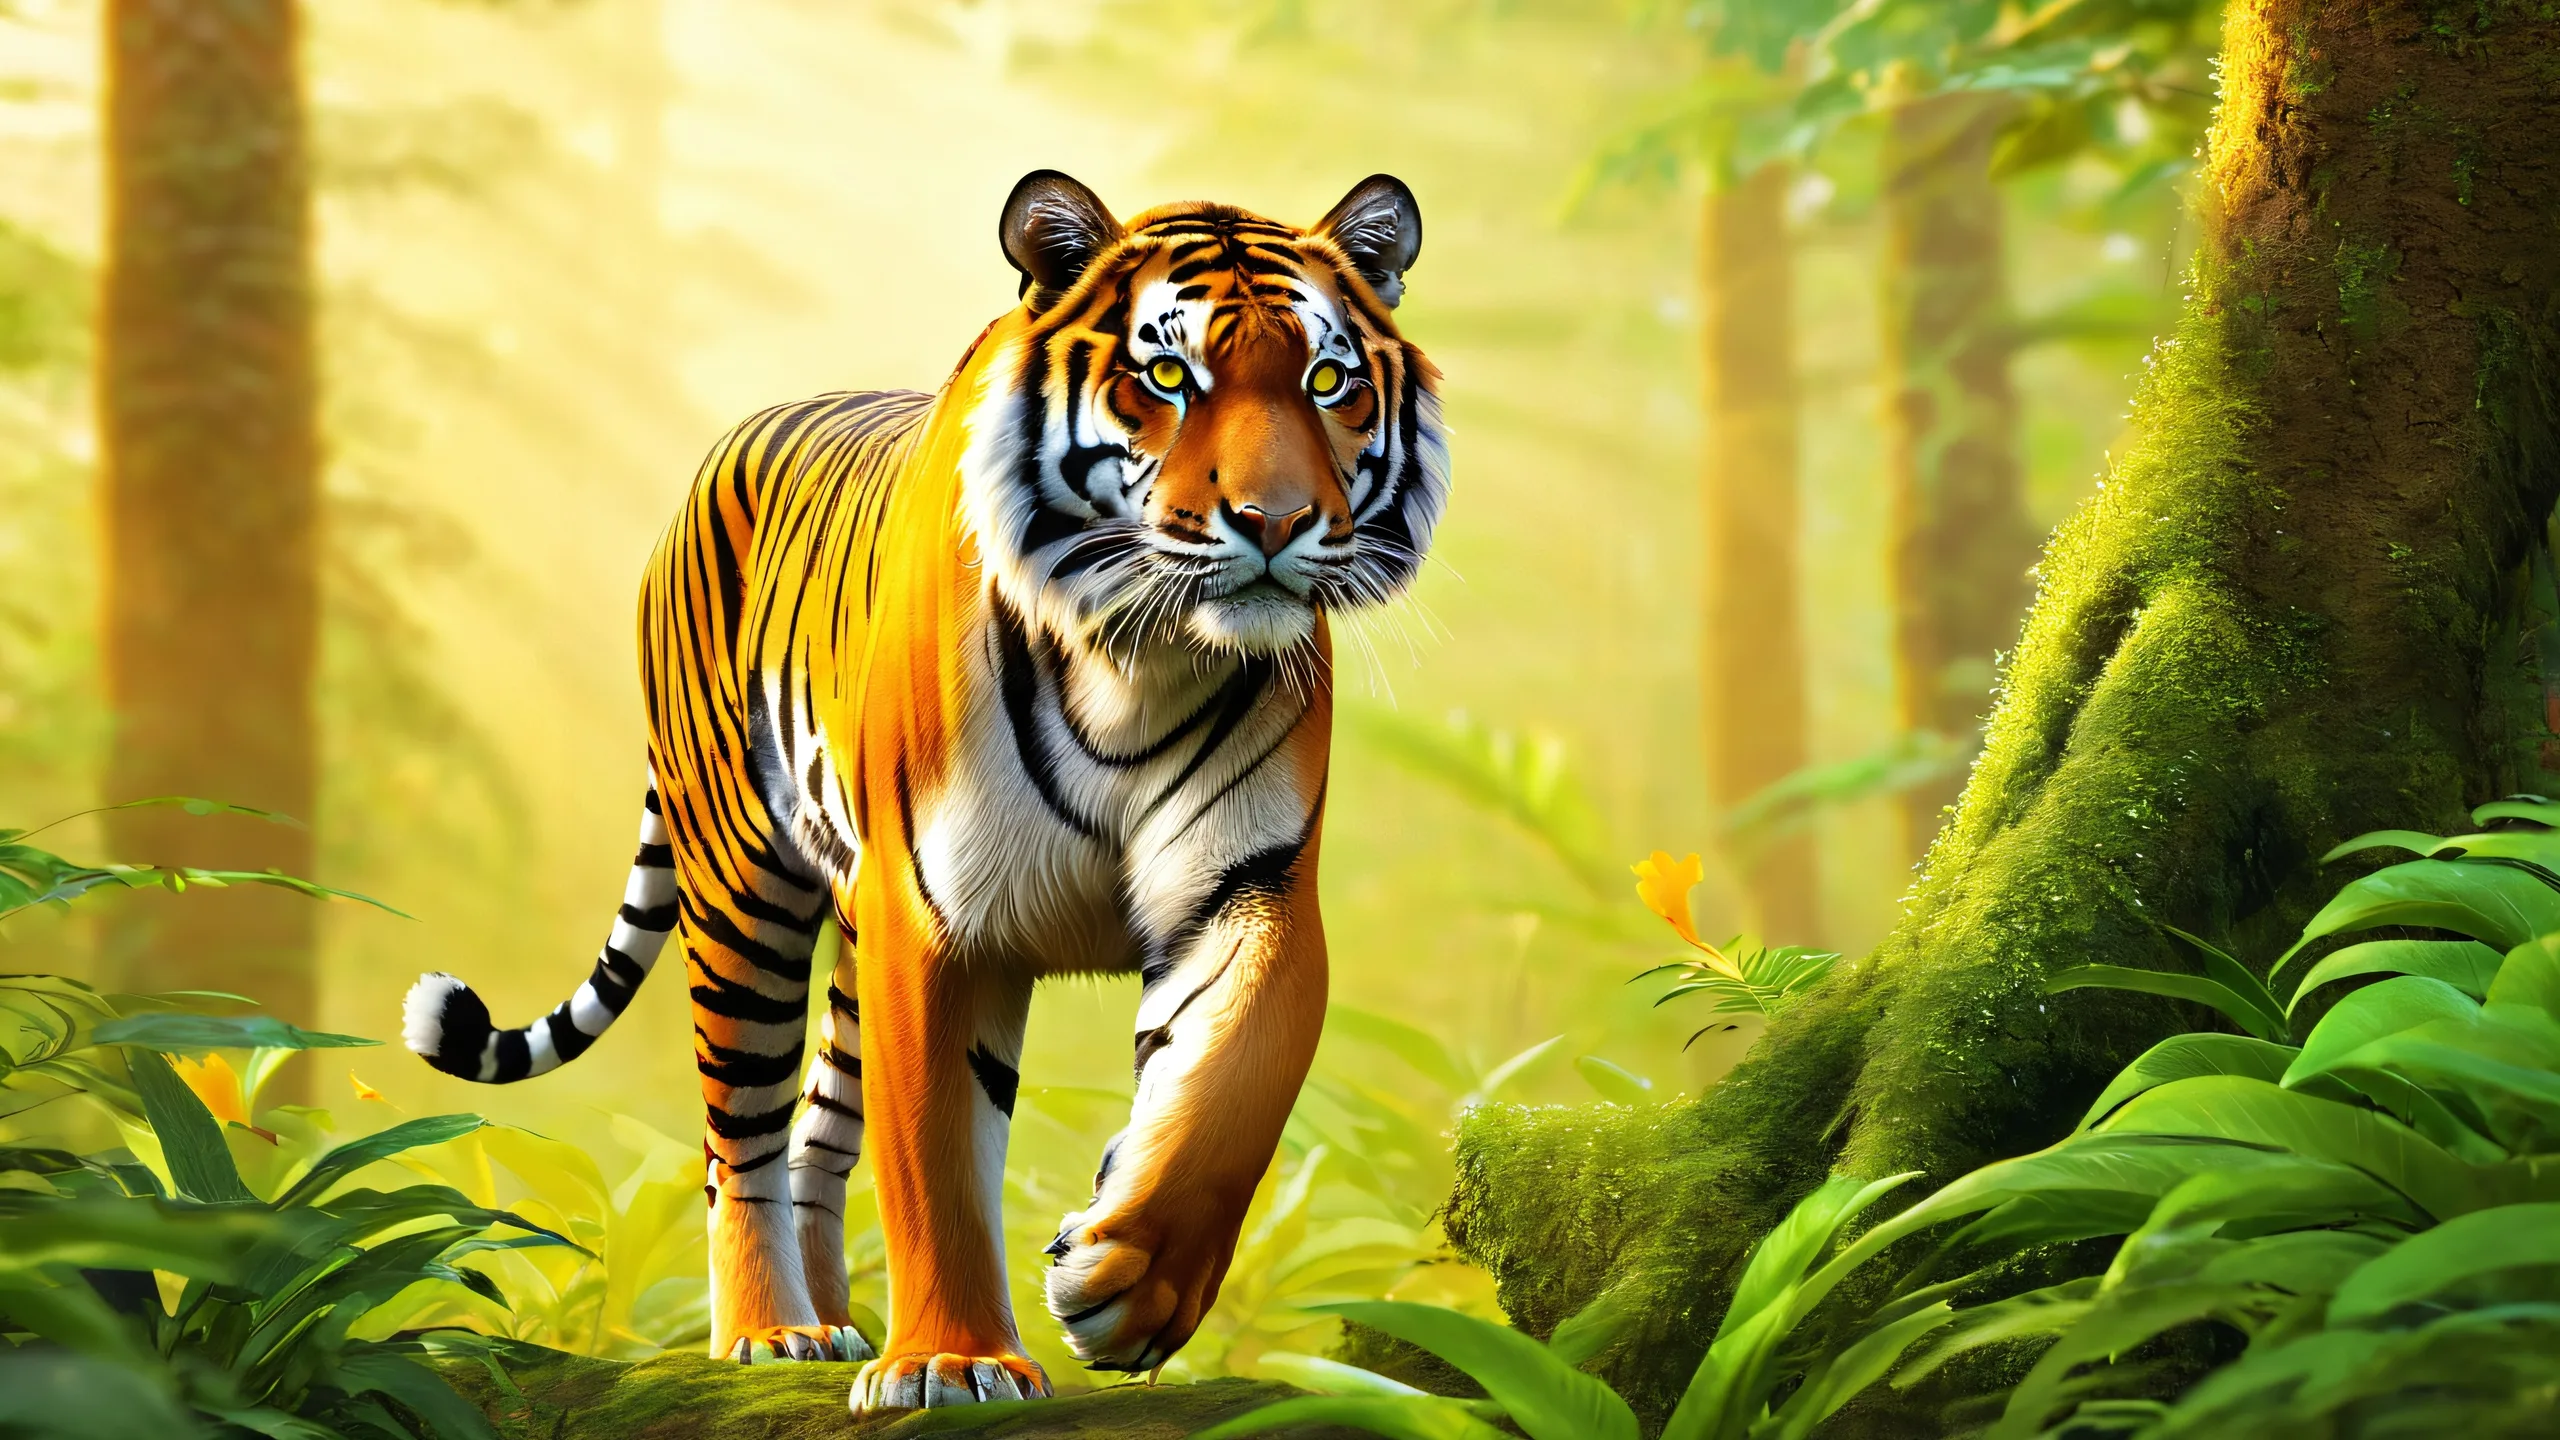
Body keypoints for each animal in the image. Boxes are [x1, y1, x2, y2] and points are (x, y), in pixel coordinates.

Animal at [400, 170, 1445, 1411]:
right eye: (1165, 378)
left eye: (1328, 381)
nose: (1278, 524)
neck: (1136, 658)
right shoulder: (933, 918)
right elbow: (935, 1154)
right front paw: (954, 1359)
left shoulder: (1251, 886)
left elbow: (1233, 1084)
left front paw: (1128, 1284)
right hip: (743, 888)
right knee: (737, 1137)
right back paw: (771, 1335)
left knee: (814, 1125)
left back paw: (837, 1325)